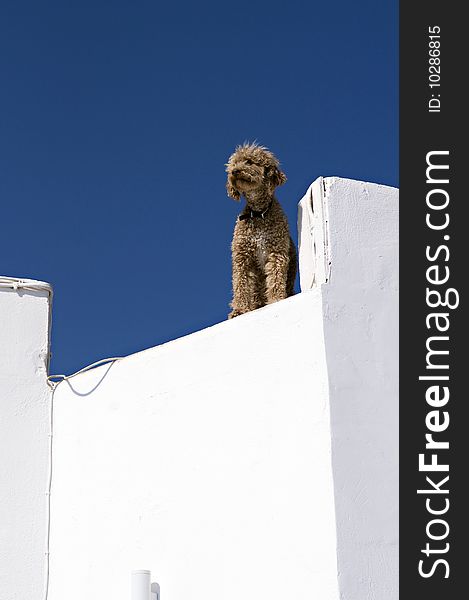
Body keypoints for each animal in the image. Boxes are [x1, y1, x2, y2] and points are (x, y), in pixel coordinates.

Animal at [224, 142, 296, 318]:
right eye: (234, 163)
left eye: (249, 162)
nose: (234, 171)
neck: (258, 213)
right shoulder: (242, 256)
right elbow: (241, 283)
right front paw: (240, 309)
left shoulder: (276, 252)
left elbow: (276, 278)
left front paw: (276, 300)